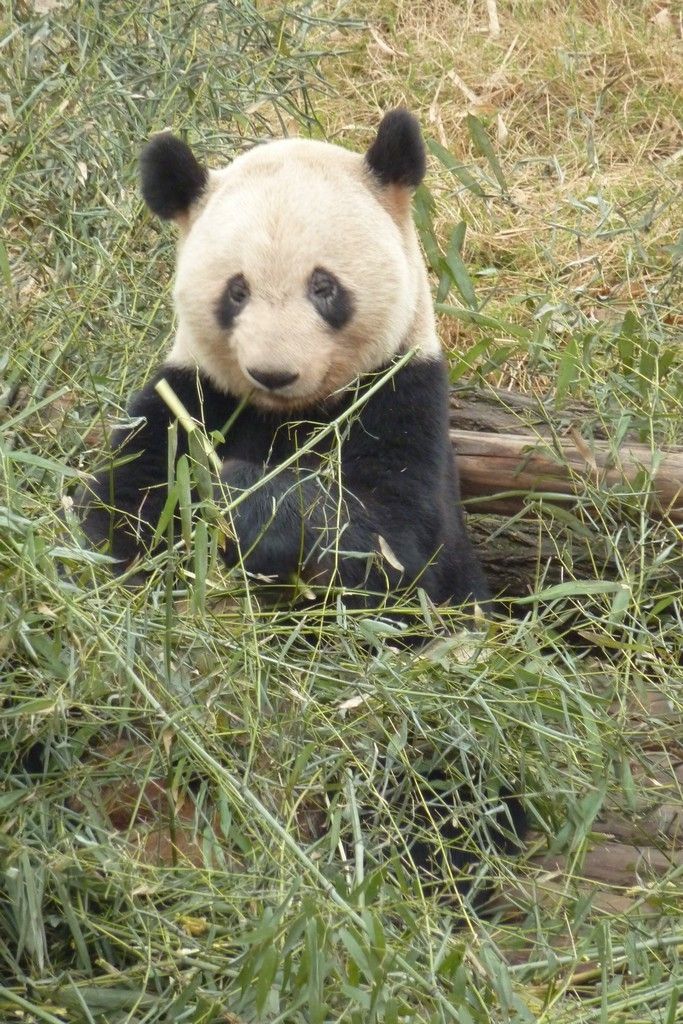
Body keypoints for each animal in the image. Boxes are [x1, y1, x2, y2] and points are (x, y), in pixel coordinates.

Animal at [77, 110, 525, 895]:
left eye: (325, 287)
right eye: (235, 291)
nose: (273, 370)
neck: (289, 414)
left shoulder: (403, 399)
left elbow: (394, 548)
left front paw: (248, 500)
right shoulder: (186, 396)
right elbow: (120, 520)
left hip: (431, 686)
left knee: (444, 770)